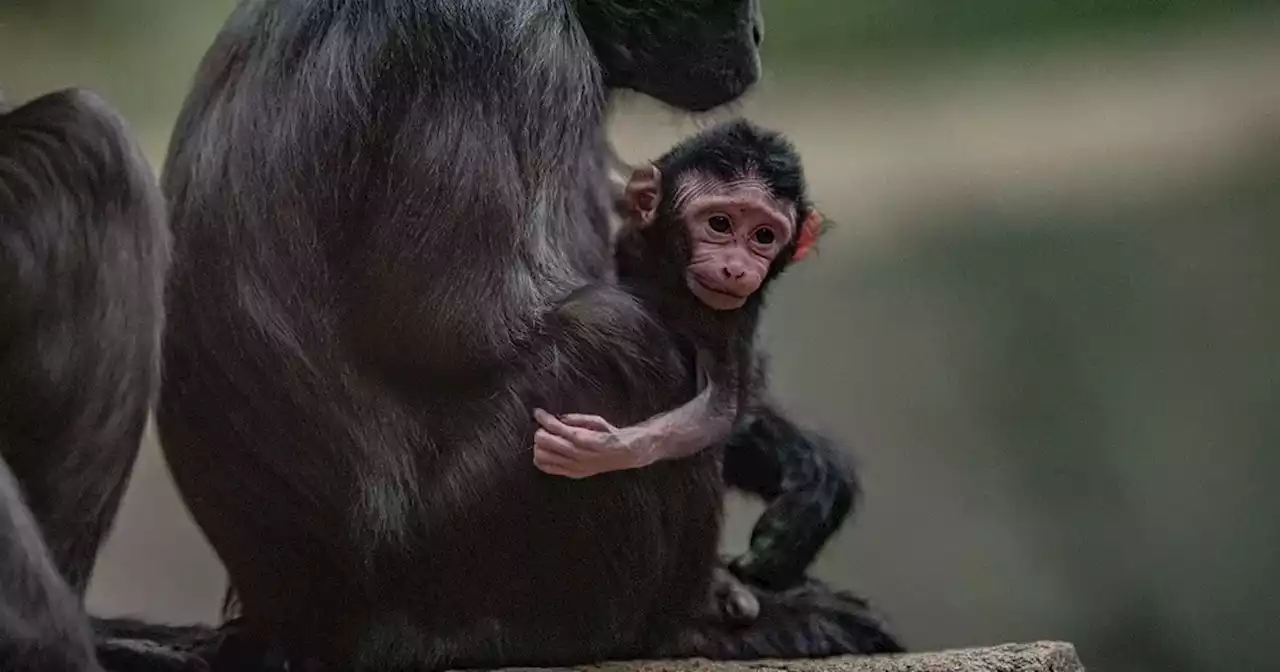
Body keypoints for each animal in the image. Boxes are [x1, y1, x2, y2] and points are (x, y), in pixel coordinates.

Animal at [529, 119, 819, 624]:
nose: (737, 267)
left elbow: (718, 408)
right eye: (720, 224)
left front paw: (604, 450)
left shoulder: (729, 318)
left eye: (764, 235)